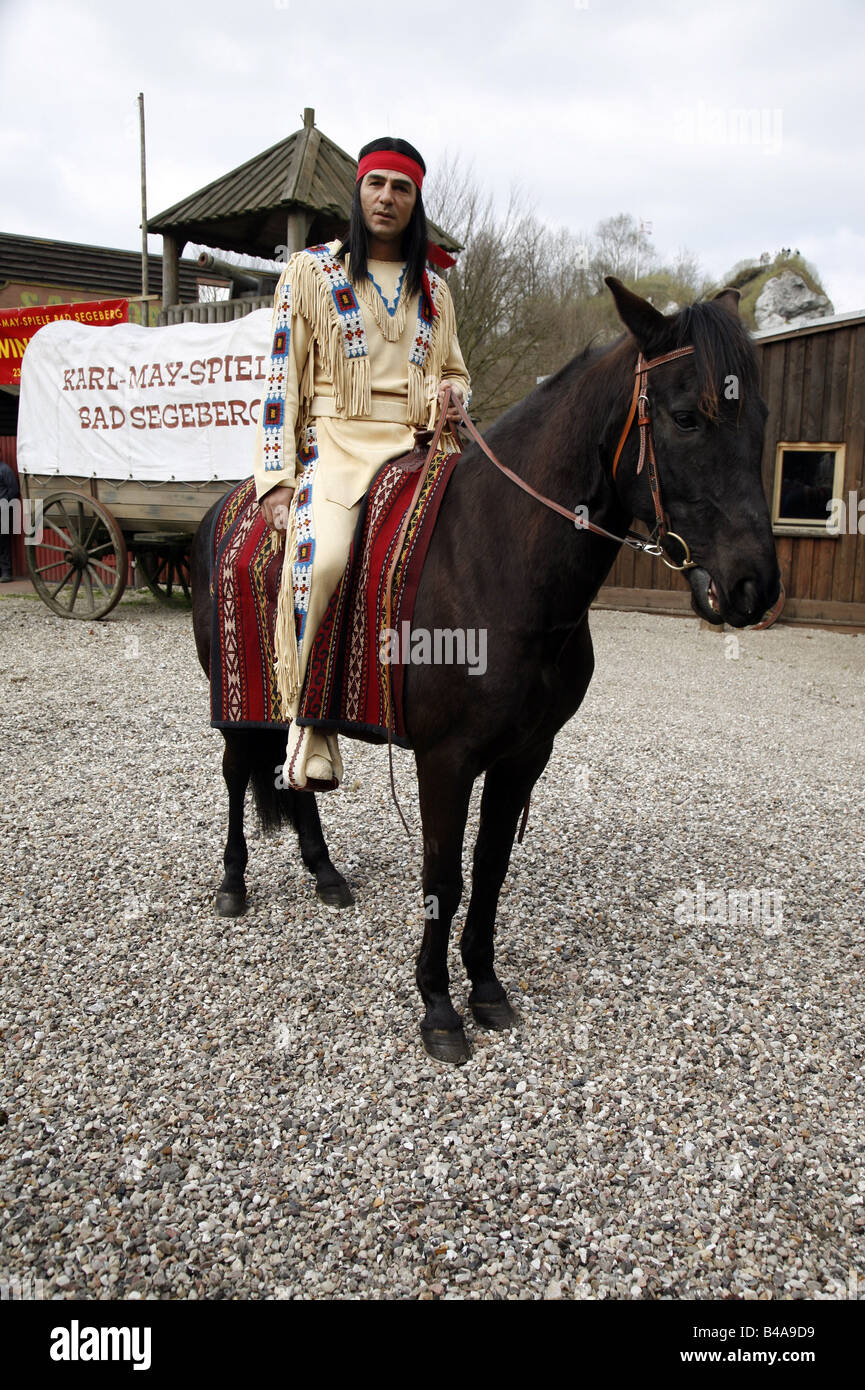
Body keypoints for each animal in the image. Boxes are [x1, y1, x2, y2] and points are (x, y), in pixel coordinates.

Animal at [191, 279, 784, 1061]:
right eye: (687, 417)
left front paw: (487, 988)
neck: (496, 557)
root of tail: (230, 506)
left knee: (299, 777)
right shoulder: (446, 760)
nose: (755, 587)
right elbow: (443, 874)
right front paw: (438, 1008)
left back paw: (325, 872)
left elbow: (490, 868)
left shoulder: (524, 756)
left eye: (761, 419)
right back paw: (233, 883)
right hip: (235, 701)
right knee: (236, 777)